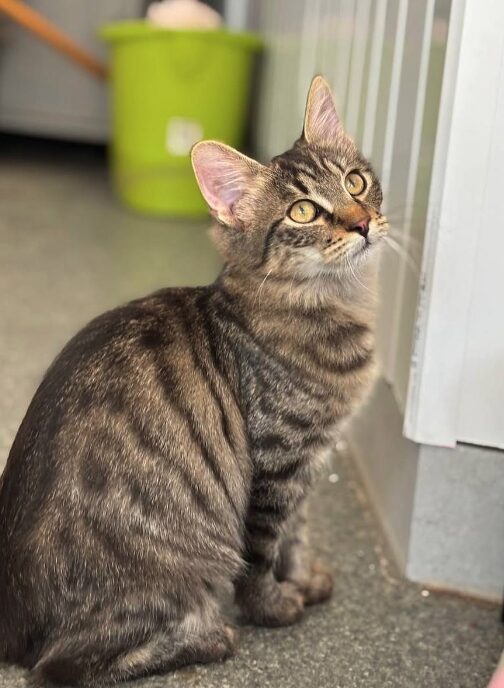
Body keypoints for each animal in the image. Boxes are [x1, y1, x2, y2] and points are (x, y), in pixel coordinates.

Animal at [0, 78, 388, 684]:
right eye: (303, 211)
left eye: (354, 182)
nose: (362, 222)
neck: (332, 305)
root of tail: (10, 625)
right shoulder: (276, 463)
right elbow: (263, 553)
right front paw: (276, 607)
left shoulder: (307, 464)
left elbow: (297, 536)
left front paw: (304, 580)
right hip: (180, 564)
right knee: (64, 666)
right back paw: (209, 639)